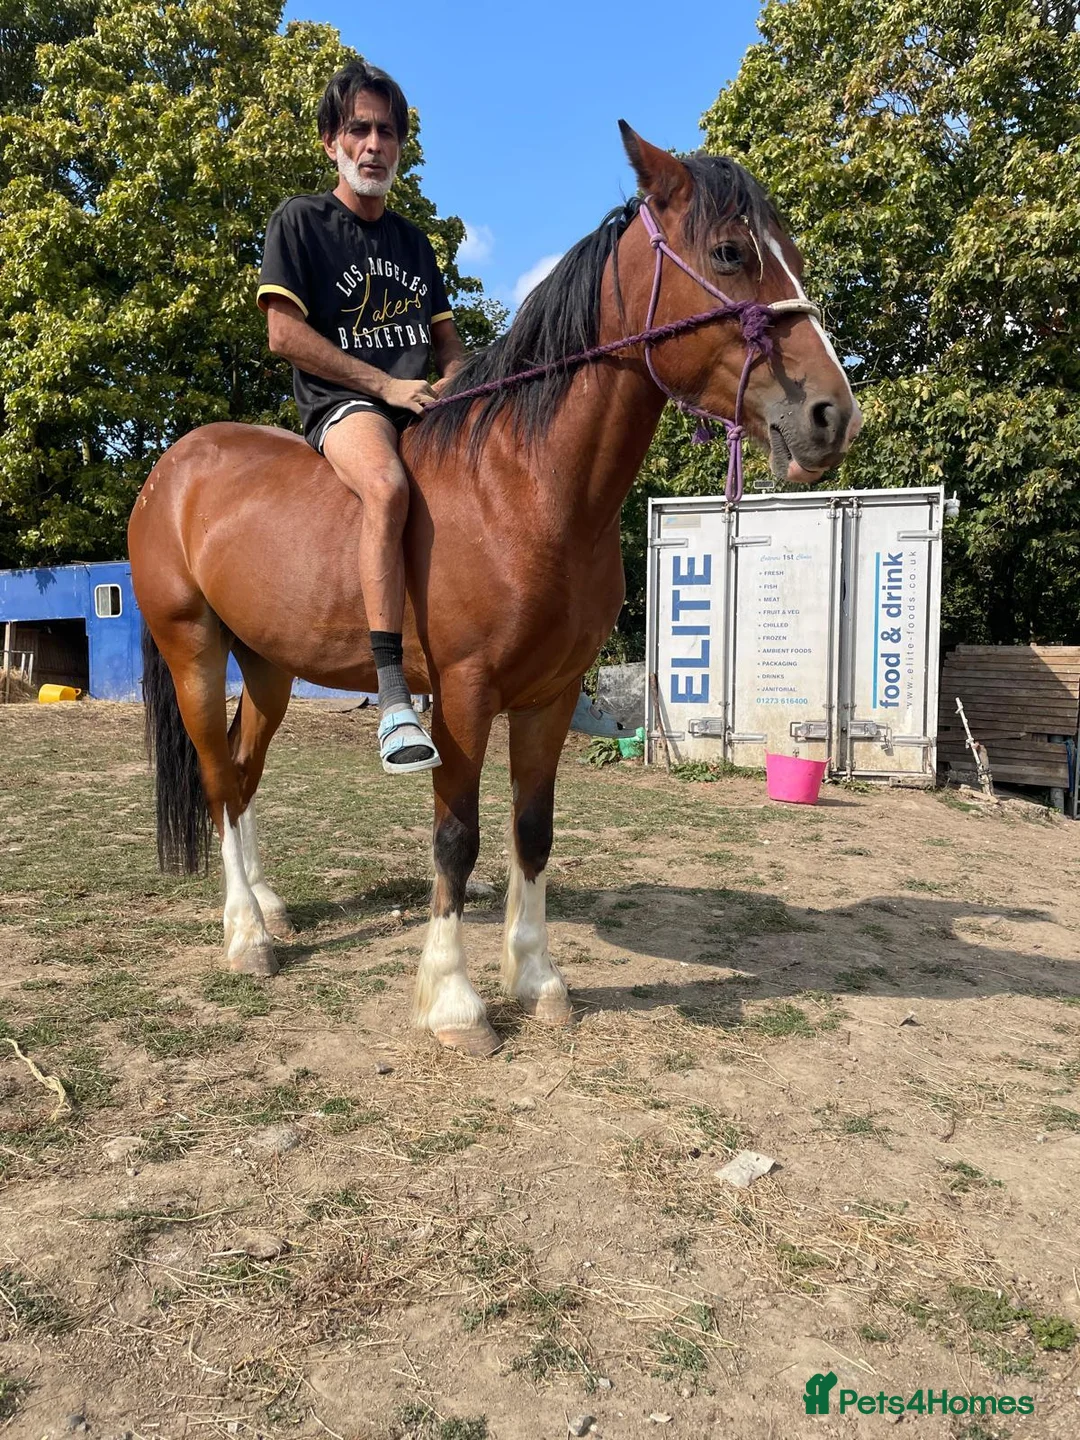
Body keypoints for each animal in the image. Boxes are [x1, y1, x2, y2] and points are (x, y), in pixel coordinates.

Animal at [128, 127, 860, 1057]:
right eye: (730, 252)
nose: (833, 416)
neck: (526, 485)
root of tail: (171, 470)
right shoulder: (466, 696)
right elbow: (457, 837)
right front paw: (454, 1002)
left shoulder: (548, 696)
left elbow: (532, 832)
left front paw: (539, 980)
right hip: (193, 649)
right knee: (222, 779)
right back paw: (246, 936)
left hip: (266, 667)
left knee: (245, 773)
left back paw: (265, 906)